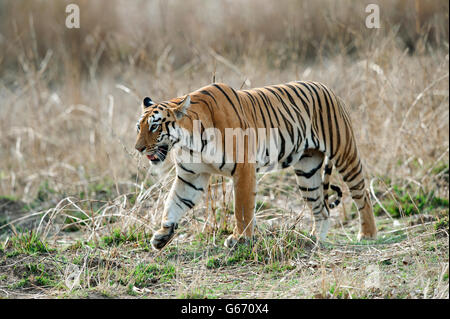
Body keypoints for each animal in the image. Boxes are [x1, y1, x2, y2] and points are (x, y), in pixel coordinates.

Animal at [135, 80, 378, 250]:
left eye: (155, 126)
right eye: (139, 127)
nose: (138, 148)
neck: (189, 142)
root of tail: (327, 88)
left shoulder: (243, 168)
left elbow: (241, 208)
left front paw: (240, 239)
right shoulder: (191, 177)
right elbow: (173, 203)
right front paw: (162, 235)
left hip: (344, 152)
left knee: (362, 194)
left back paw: (367, 235)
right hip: (307, 171)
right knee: (322, 209)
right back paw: (314, 240)